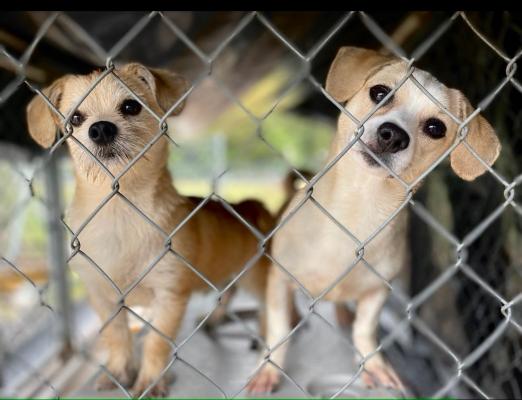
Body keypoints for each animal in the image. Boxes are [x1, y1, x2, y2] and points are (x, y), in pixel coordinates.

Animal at [26, 63, 274, 396]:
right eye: (75, 118)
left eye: (131, 107)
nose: (100, 129)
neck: (121, 210)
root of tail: (249, 205)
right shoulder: (102, 296)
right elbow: (117, 336)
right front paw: (119, 371)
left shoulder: (169, 296)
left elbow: (156, 343)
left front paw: (151, 379)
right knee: (229, 293)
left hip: (256, 276)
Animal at [247, 47, 500, 394]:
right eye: (379, 92)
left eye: (436, 128)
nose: (393, 135)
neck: (358, 207)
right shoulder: (280, 279)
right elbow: (279, 329)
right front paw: (269, 369)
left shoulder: (377, 292)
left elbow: (364, 329)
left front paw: (373, 365)